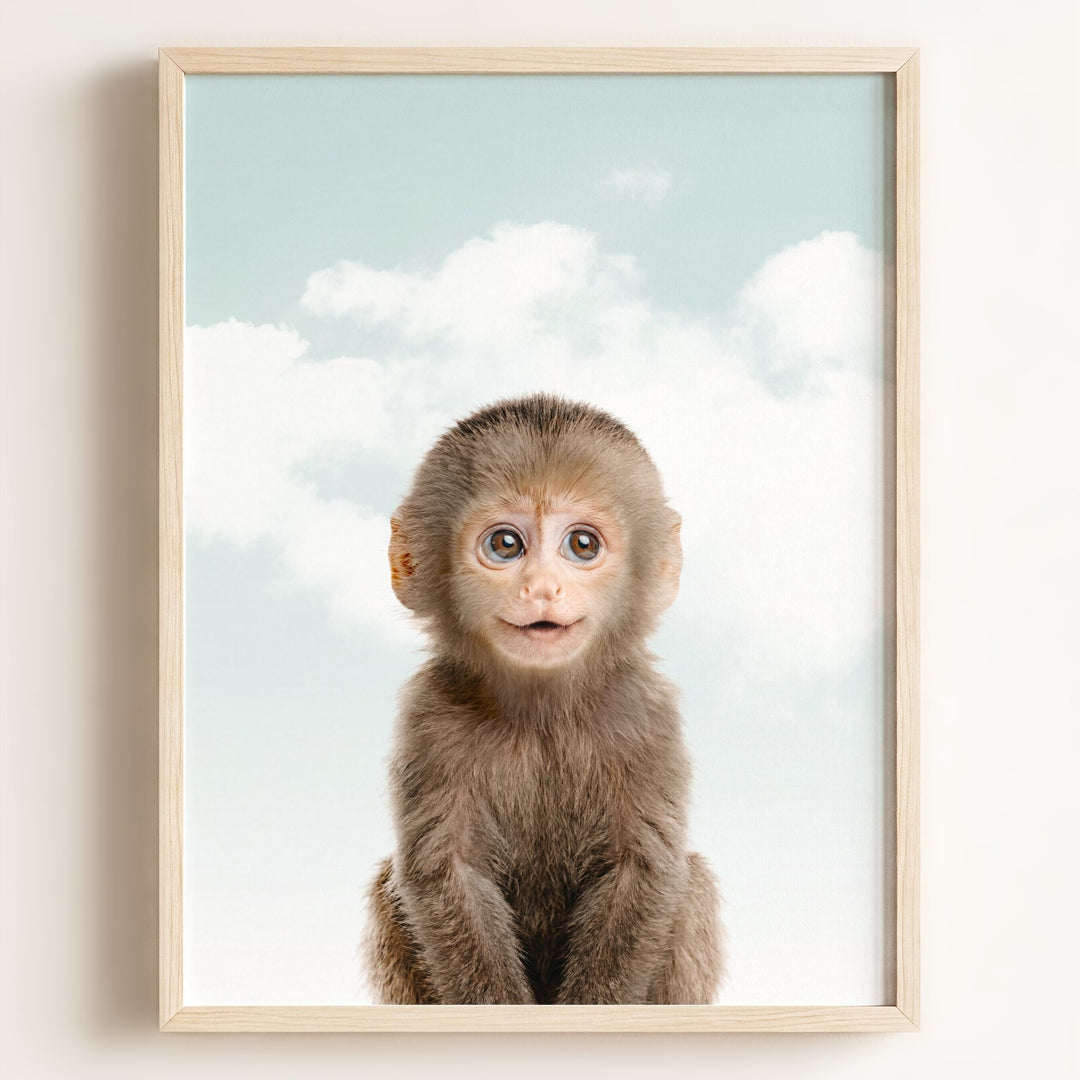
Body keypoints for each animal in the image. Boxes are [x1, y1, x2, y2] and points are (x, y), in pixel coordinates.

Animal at [365, 394, 722, 1005]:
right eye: (505, 544)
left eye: (582, 544)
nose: (542, 588)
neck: (542, 714)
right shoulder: (430, 716)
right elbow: (446, 873)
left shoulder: (646, 714)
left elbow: (643, 870)